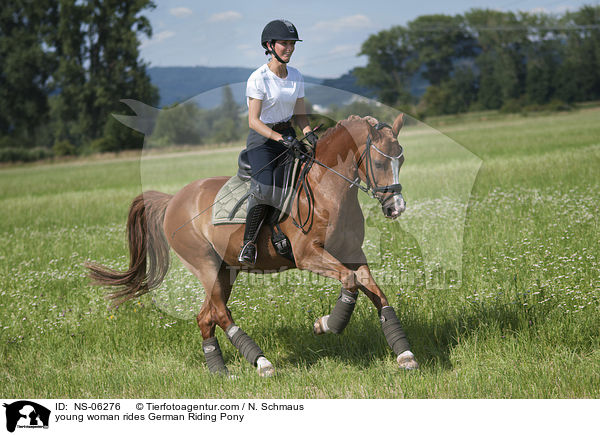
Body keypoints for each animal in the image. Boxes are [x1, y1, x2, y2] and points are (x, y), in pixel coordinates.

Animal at [88, 114, 418, 376]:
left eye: (402, 159)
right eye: (379, 162)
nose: (396, 208)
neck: (327, 189)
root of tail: (173, 201)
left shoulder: (351, 253)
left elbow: (376, 293)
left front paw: (404, 353)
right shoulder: (308, 255)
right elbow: (350, 282)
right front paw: (327, 324)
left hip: (225, 271)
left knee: (205, 316)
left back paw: (219, 371)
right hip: (205, 266)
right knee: (221, 314)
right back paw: (261, 362)